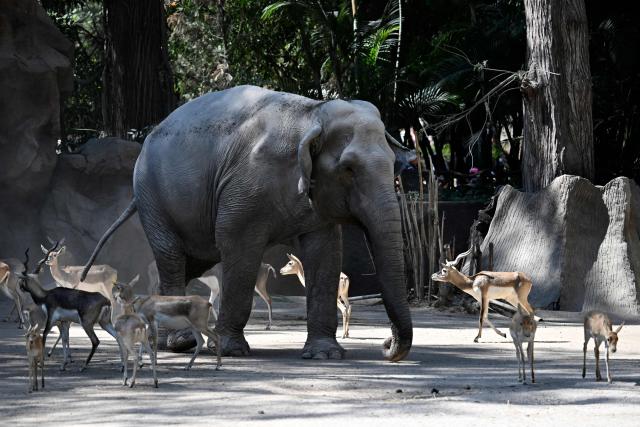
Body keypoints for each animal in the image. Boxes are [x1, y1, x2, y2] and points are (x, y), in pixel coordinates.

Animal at [82, 85, 413, 362]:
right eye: (348, 168)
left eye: (394, 165)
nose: (386, 345)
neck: (313, 113)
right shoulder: (245, 187)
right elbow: (237, 244)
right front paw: (230, 350)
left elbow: (325, 252)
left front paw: (325, 355)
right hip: (153, 198)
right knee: (171, 257)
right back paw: (180, 343)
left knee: (188, 262)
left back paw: (165, 342)